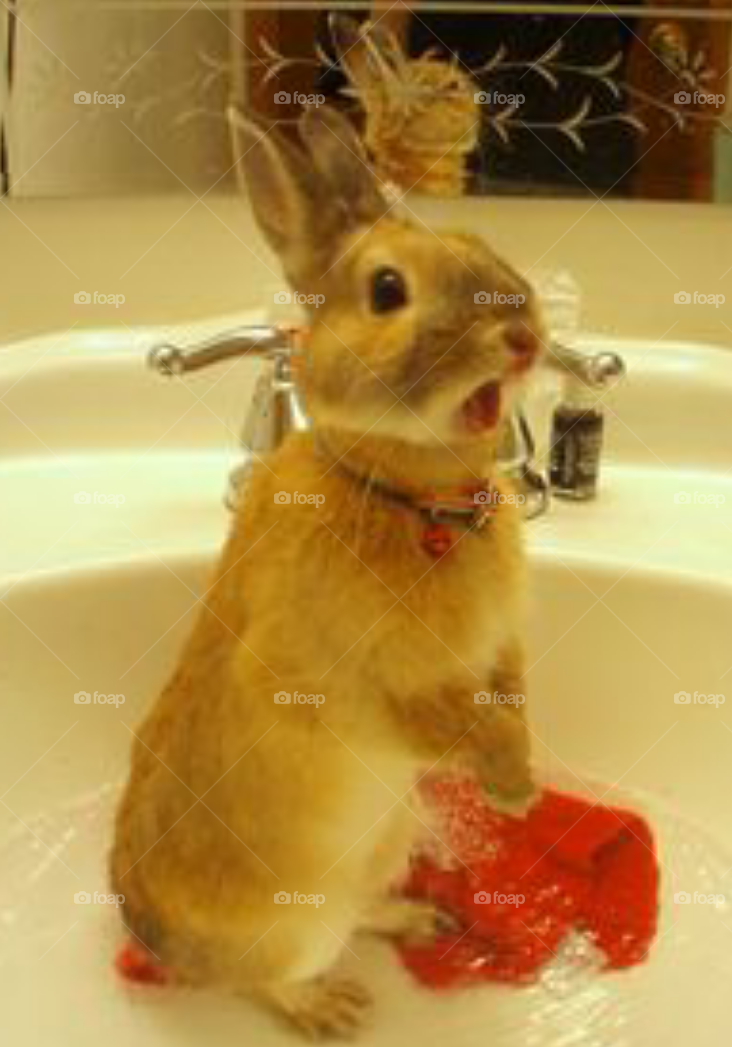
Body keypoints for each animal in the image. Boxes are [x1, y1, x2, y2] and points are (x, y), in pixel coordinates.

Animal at [110, 103, 545, 1039]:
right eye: (386, 291)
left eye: (475, 243)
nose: (526, 336)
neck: (405, 494)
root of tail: (147, 934)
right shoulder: (364, 689)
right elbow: (457, 724)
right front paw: (512, 787)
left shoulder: (501, 649)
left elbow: (511, 698)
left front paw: (521, 787)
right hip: (294, 918)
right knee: (266, 976)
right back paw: (330, 1007)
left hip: (385, 839)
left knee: (362, 909)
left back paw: (419, 917)